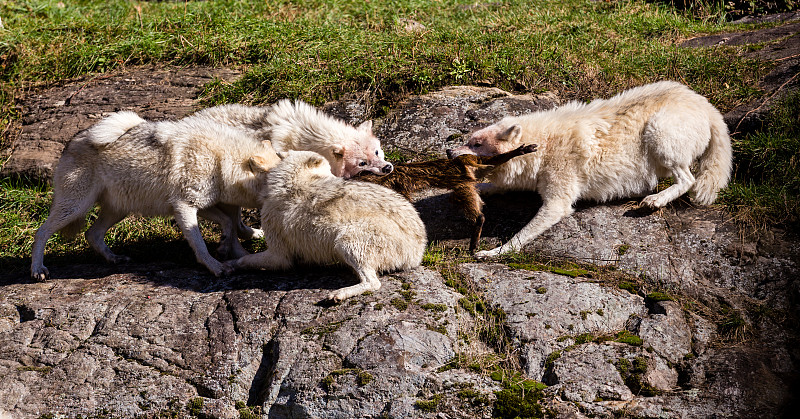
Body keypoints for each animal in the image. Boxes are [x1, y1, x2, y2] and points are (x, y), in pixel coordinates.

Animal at [225, 151, 428, 302]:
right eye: (330, 173)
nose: (344, 179)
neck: (295, 181)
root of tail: (419, 250)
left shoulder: (279, 255)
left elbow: (245, 260)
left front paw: (230, 264)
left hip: (346, 241)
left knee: (373, 283)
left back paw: (339, 294)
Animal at [356, 143, 536, 254]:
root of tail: (464, 165)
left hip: (461, 185)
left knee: (475, 211)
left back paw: (474, 238)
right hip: (470, 172)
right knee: (491, 162)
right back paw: (521, 150)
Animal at [450, 81, 732, 260]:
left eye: (476, 144)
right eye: (469, 140)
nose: (449, 152)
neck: (543, 146)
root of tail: (706, 105)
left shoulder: (558, 203)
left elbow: (520, 236)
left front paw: (493, 253)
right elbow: (491, 186)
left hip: (659, 134)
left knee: (688, 179)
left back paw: (654, 200)